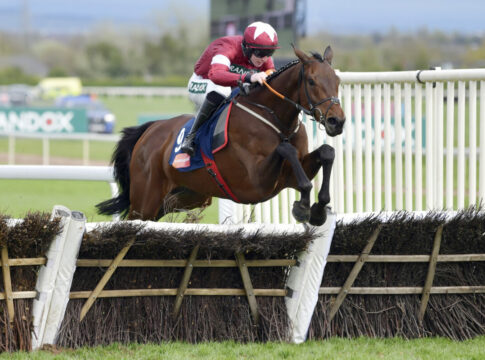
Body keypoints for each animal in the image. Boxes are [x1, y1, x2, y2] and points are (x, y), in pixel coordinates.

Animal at [96, 45, 344, 225]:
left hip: (187, 196)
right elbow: (286, 149)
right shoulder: (254, 183)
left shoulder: (288, 175)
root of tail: (149, 130)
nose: (337, 121)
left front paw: (318, 209)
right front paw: (302, 207)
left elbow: (327, 152)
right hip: (145, 200)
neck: (275, 117)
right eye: (311, 81)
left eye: (337, 81)